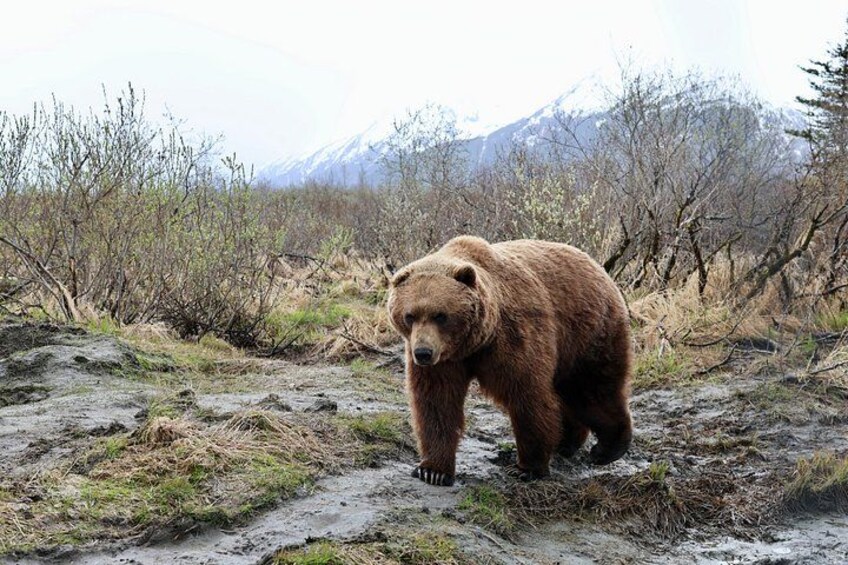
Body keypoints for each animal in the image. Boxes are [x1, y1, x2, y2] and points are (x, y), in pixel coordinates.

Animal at [387, 236, 632, 486]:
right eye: (410, 315)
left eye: (440, 315)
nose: (423, 353)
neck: (474, 342)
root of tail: (599, 268)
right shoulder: (445, 361)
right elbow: (437, 402)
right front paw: (433, 471)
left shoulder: (513, 338)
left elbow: (527, 395)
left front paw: (527, 468)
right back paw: (567, 443)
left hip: (587, 332)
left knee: (592, 390)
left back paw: (607, 449)